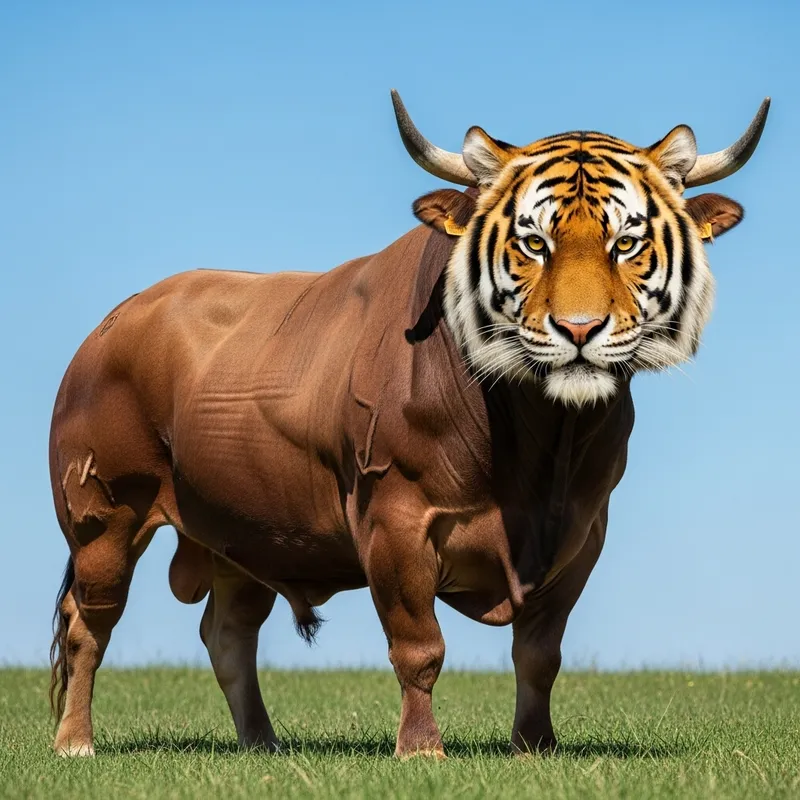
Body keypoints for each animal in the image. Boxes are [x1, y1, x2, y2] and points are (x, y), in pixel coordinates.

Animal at [48, 91, 769, 757]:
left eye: (629, 243)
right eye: (530, 242)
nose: (580, 329)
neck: (535, 458)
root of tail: (113, 323)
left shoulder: (583, 535)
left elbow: (540, 654)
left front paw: (535, 745)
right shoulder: (394, 519)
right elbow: (419, 646)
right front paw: (422, 747)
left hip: (241, 530)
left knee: (228, 635)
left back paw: (262, 742)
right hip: (104, 514)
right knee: (91, 624)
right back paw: (75, 741)